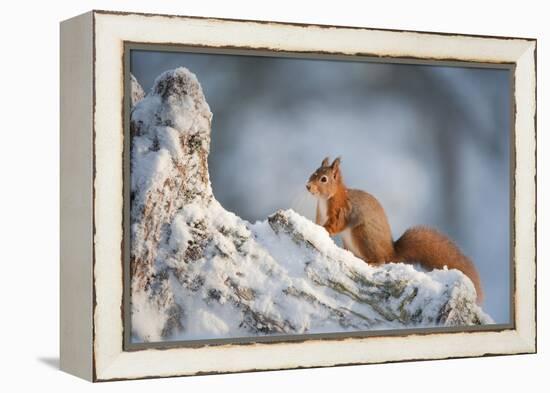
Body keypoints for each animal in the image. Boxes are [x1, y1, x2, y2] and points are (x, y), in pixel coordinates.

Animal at [308, 156, 486, 304]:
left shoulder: (343, 212)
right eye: (313, 172)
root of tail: (391, 253)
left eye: (323, 179)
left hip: (363, 236)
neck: (325, 200)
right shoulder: (320, 215)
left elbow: (335, 225)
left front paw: (323, 229)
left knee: (381, 260)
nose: (308, 186)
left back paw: (372, 262)